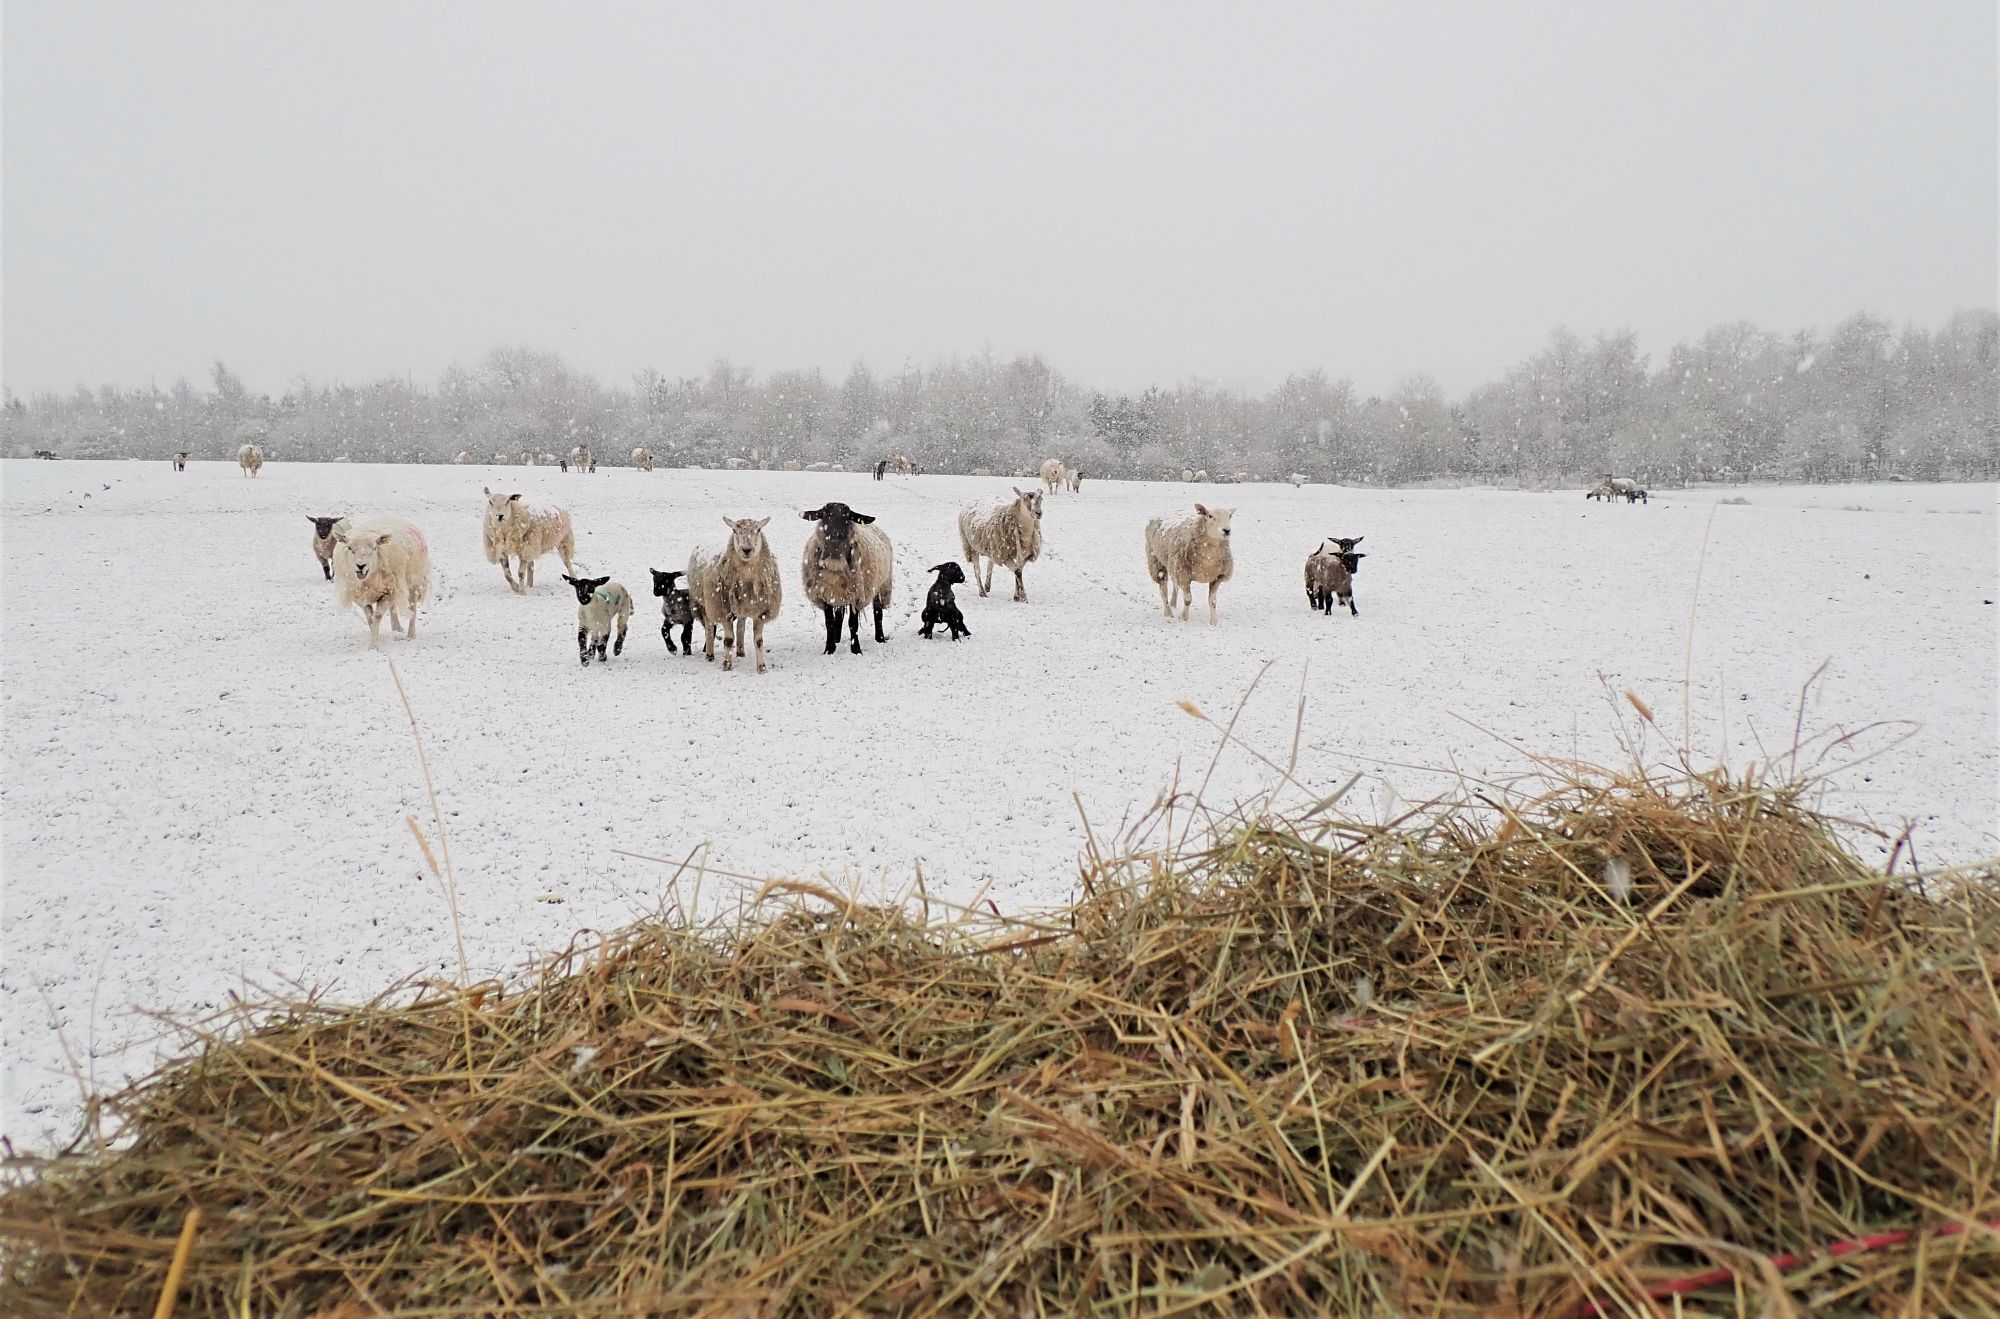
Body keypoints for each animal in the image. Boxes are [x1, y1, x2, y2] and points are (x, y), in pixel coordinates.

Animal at [330, 519, 432, 647]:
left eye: (374, 548)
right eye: (349, 548)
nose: (361, 566)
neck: (368, 581)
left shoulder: (389, 593)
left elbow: (377, 616)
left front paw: (374, 646)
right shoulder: (361, 597)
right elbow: (370, 618)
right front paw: (375, 638)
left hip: (414, 585)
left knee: (412, 609)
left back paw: (411, 635)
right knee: (393, 609)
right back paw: (396, 629)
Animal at [688, 515, 780, 675]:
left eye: (758, 530)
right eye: (734, 530)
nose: (746, 550)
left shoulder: (760, 610)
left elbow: (759, 641)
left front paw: (762, 667)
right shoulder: (724, 610)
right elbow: (728, 639)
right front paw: (727, 664)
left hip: (741, 605)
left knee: (741, 624)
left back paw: (740, 651)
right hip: (706, 602)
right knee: (709, 627)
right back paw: (710, 655)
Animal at [800, 499, 896, 655]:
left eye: (847, 516)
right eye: (825, 513)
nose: (835, 534)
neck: (835, 560)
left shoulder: (856, 595)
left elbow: (853, 623)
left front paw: (856, 649)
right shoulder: (824, 594)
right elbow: (830, 622)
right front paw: (829, 649)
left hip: (882, 584)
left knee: (878, 612)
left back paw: (880, 638)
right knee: (839, 616)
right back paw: (837, 638)